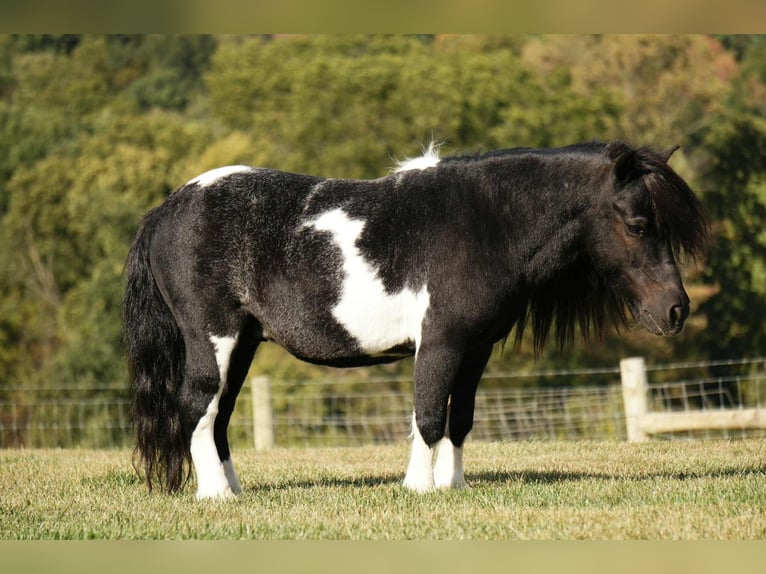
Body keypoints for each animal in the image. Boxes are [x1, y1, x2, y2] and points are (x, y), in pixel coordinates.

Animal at [123, 140, 708, 499]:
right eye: (638, 223)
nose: (676, 309)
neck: (485, 224)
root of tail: (168, 208)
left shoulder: (476, 349)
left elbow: (459, 419)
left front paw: (454, 487)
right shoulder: (440, 343)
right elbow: (427, 415)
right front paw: (418, 488)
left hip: (243, 343)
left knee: (219, 416)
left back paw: (234, 489)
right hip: (214, 339)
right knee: (197, 408)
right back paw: (215, 496)